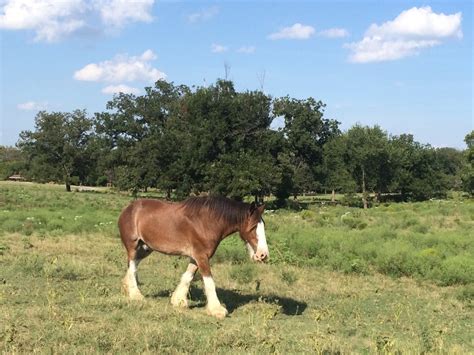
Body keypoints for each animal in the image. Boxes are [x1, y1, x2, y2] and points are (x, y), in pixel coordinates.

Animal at [117, 196, 268, 322]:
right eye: (253, 227)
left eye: (263, 227)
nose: (263, 255)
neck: (207, 222)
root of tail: (128, 208)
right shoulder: (202, 256)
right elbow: (209, 282)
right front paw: (217, 310)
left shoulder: (197, 256)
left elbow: (188, 276)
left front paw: (178, 300)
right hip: (133, 246)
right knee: (132, 267)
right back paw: (135, 295)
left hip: (145, 248)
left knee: (132, 266)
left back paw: (126, 288)